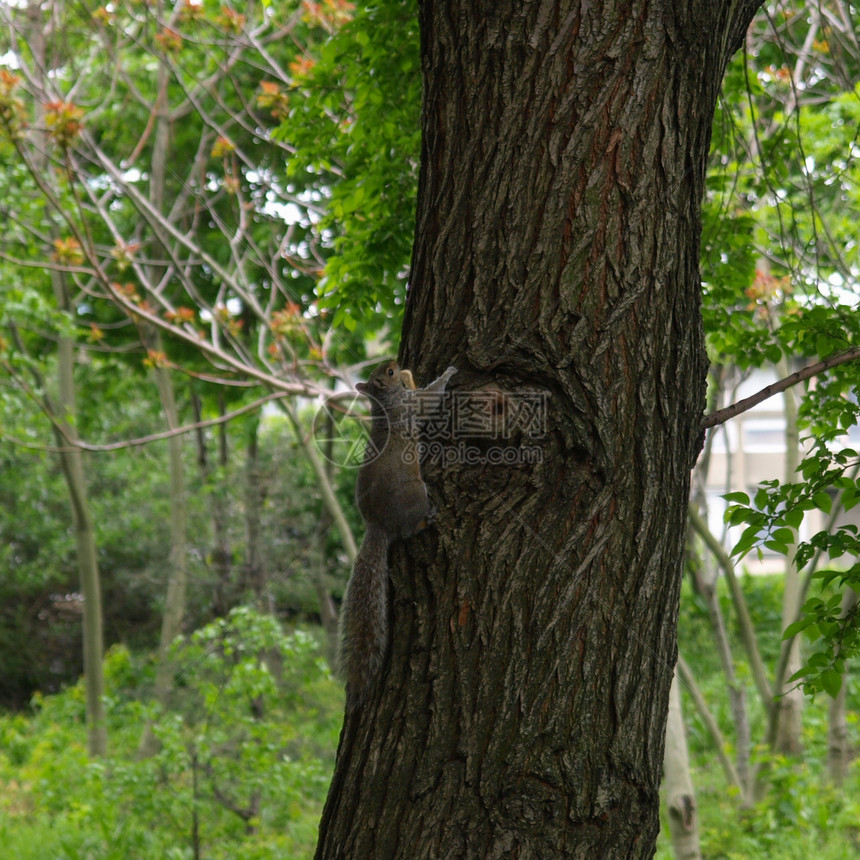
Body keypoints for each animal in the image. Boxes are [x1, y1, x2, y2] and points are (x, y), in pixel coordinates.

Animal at [340, 360, 456, 708]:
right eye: (387, 373)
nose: (395, 363)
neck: (386, 404)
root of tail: (377, 525)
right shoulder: (413, 407)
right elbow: (431, 397)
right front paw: (449, 374)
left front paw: (410, 376)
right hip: (415, 495)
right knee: (408, 531)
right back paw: (428, 518)